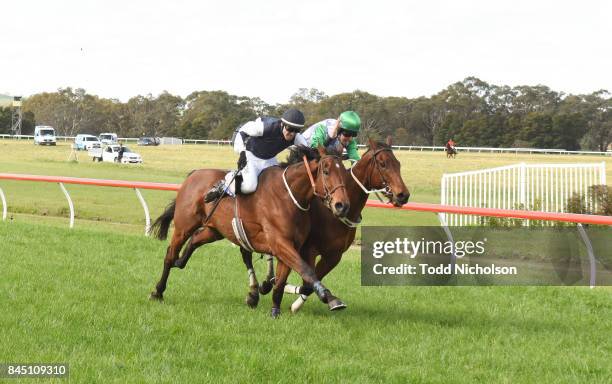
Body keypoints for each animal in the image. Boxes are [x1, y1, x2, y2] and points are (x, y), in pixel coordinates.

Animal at [148, 146, 350, 316]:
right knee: (170, 255)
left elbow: (281, 281)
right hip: (184, 226)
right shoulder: (280, 243)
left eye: (345, 173)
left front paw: (275, 310)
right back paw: (157, 291)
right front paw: (329, 297)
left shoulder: (290, 245)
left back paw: (180, 262)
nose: (342, 205)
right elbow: (306, 270)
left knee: (195, 239)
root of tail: (194, 174)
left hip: (215, 229)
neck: (288, 196)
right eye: (326, 171)